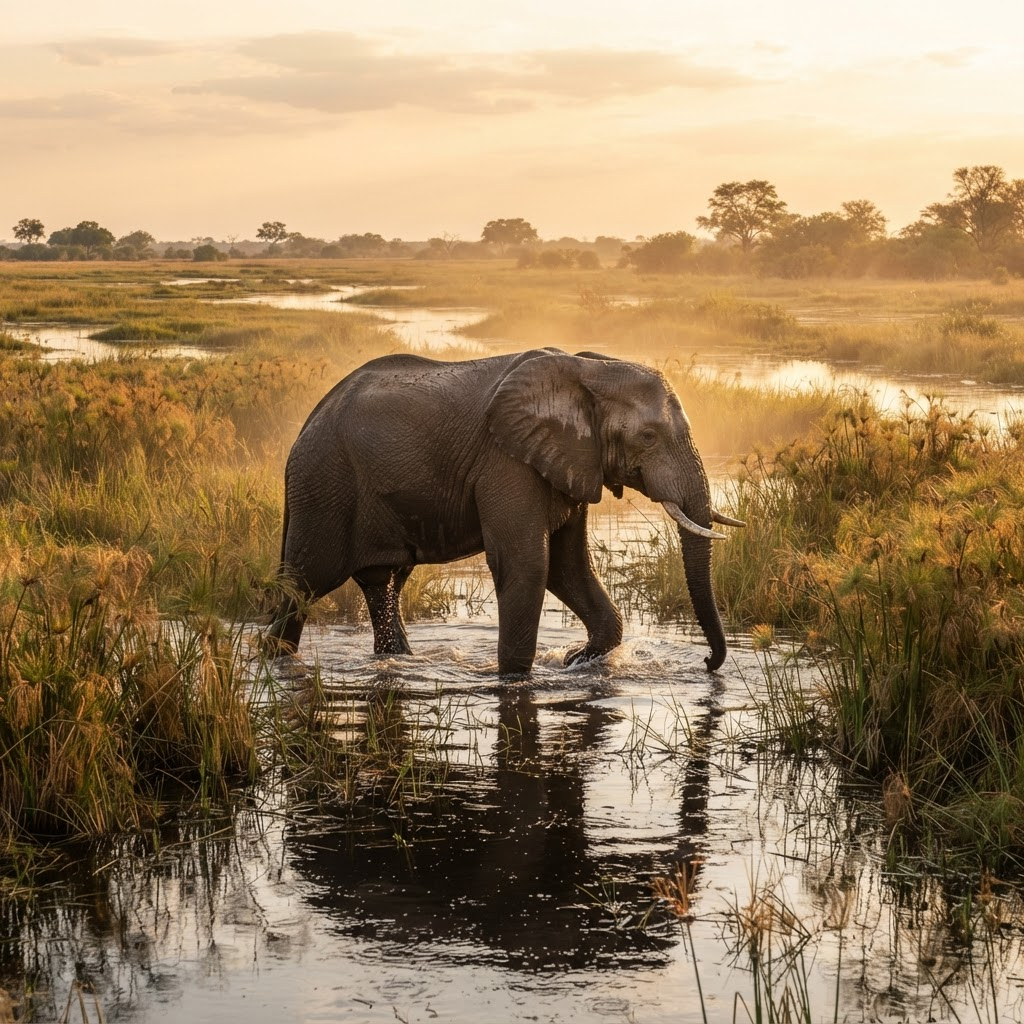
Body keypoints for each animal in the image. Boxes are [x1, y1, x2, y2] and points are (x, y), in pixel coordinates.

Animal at [267, 349, 743, 676]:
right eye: (648, 436)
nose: (706, 662)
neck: (587, 368)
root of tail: (308, 423)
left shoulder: (567, 463)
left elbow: (568, 567)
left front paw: (574, 661)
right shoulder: (507, 461)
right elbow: (529, 564)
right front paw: (516, 677)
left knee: (382, 585)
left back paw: (399, 660)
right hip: (324, 484)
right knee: (302, 585)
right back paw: (276, 661)